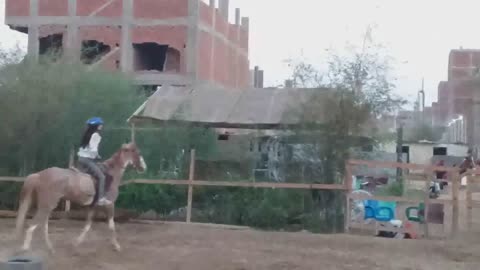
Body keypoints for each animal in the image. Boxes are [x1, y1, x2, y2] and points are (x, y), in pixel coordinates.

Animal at [15, 141, 146, 253]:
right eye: (137, 152)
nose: (143, 168)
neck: (111, 173)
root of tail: (39, 175)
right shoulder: (110, 204)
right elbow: (111, 226)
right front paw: (117, 246)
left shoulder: (93, 206)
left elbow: (87, 225)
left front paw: (76, 243)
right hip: (47, 205)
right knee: (34, 224)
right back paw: (25, 248)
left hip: (48, 206)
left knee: (43, 225)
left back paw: (50, 248)